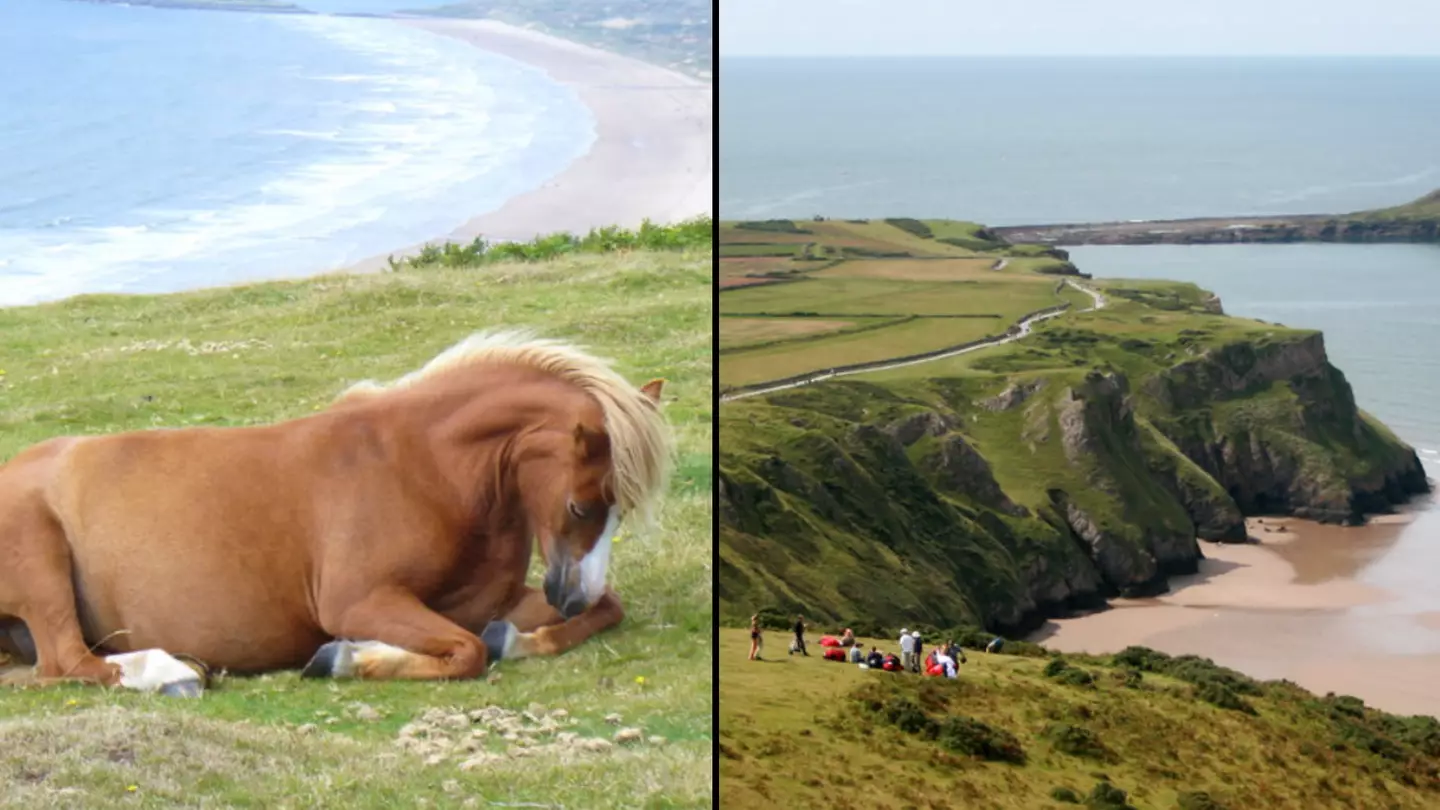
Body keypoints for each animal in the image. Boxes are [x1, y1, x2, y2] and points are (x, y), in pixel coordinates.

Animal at [0, 330, 671, 694]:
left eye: (620, 510)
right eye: (581, 504)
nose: (573, 596)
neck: (424, 466)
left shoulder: (485, 601)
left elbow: (601, 612)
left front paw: (523, 636)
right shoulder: (360, 602)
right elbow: (466, 652)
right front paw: (347, 657)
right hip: (41, 565)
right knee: (67, 660)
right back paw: (169, 672)